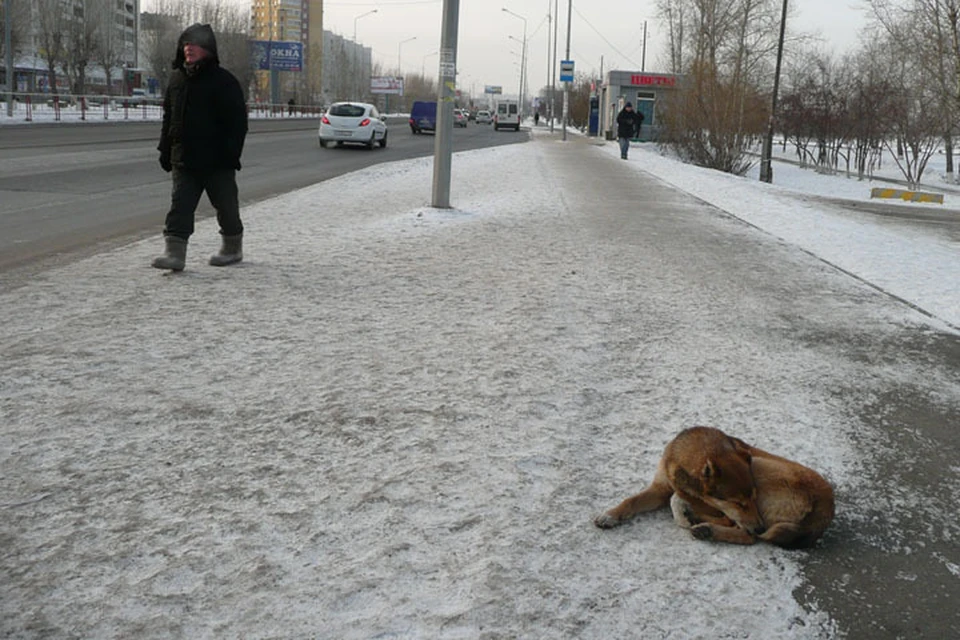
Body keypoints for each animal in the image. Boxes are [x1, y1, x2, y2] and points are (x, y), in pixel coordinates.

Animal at [592, 428, 832, 548]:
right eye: (738, 502)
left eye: (752, 498)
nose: (760, 527)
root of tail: (827, 507)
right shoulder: (660, 488)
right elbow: (631, 500)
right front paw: (610, 515)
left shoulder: (711, 502)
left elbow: (676, 498)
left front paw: (684, 514)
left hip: (760, 465)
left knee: (747, 535)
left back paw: (703, 526)